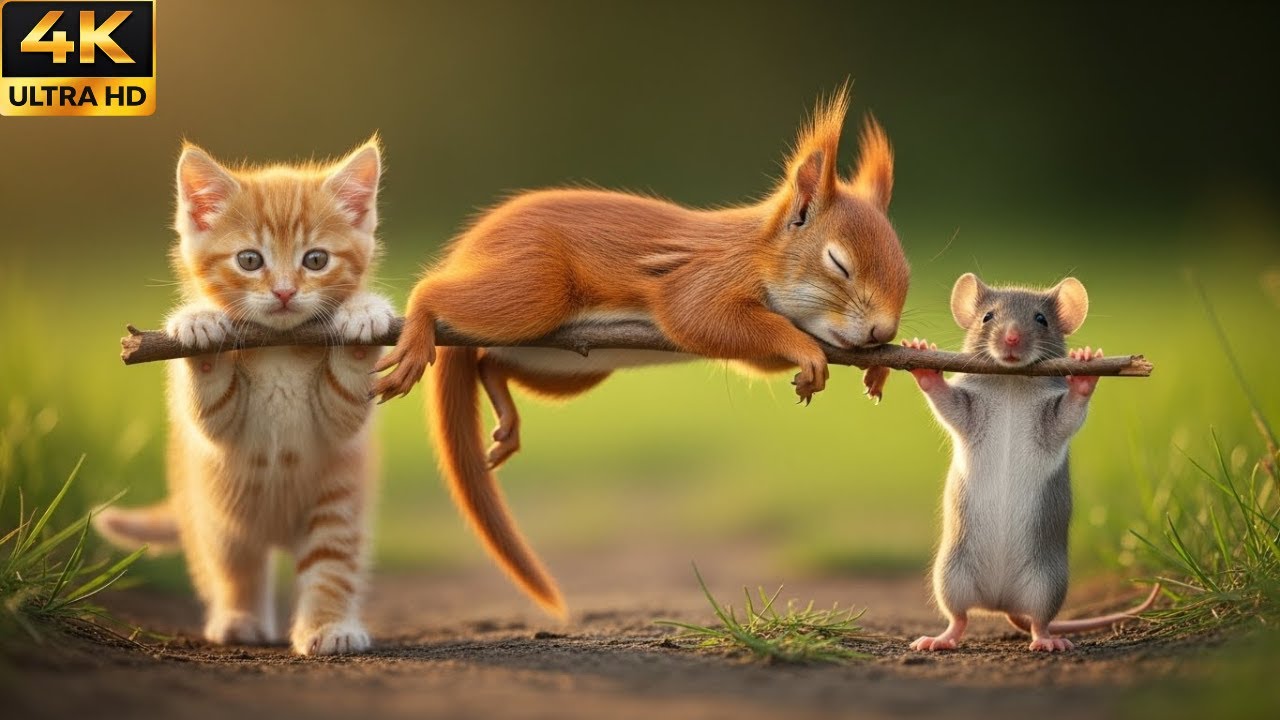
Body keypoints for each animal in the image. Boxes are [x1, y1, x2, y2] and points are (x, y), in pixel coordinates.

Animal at [373, 87, 910, 614]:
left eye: (905, 272)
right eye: (839, 264)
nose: (881, 331)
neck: (756, 253)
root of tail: (469, 250)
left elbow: (752, 358)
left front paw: (884, 363)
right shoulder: (703, 280)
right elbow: (703, 318)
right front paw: (806, 350)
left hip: (564, 365)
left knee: (491, 364)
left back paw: (504, 413)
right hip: (530, 286)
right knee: (437, 293)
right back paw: (418, 331)